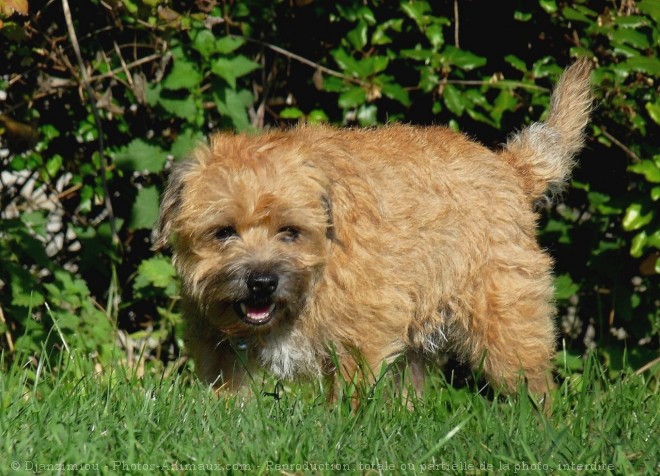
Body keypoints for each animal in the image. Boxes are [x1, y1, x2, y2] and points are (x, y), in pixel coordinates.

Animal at [152, 57, 592, 404]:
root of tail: (509, 166)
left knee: (534, 386)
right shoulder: (216, 344)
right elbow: (225, 393)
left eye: (290, 231)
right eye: (223, 232)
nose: (261, 282)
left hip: (506, 320)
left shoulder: (362, 336)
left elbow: (350, 396)